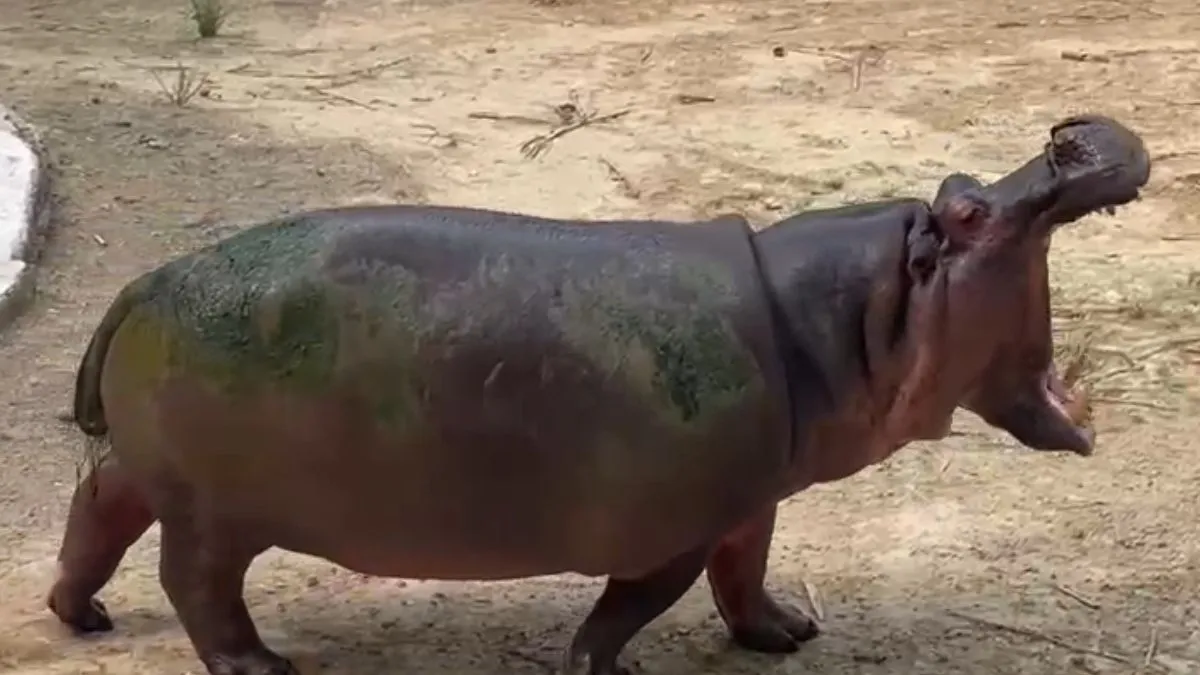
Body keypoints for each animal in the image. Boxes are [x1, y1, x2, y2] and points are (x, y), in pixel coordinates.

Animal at [47, 114, 1149, 675]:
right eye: (968, 211)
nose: (1070, 133)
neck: (859, 316)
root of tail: (147, 281)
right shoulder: (672, 528)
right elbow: (630, 608)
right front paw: (603, 669)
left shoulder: (750, 497)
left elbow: (746, 572)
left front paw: (787, 635)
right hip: (216, 512)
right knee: (194, 583)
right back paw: (262, 668)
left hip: (154, 469)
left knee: (98, 505)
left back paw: (79, 616)